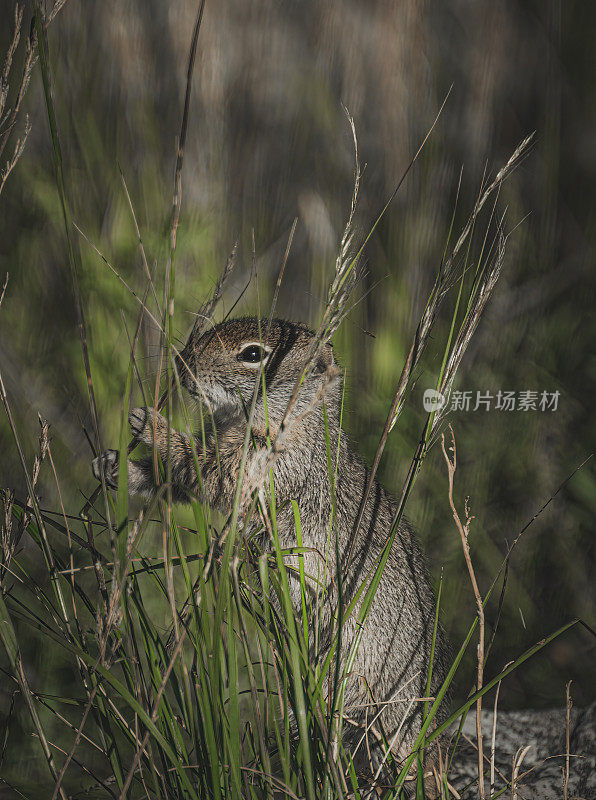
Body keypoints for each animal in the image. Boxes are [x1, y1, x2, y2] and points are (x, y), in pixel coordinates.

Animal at [93, 316, 450, 784]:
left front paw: (151, 425)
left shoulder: (260, 467)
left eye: (253, 354)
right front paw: (118, 468)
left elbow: (204, 472)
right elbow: (177, 482)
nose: (180, 362)